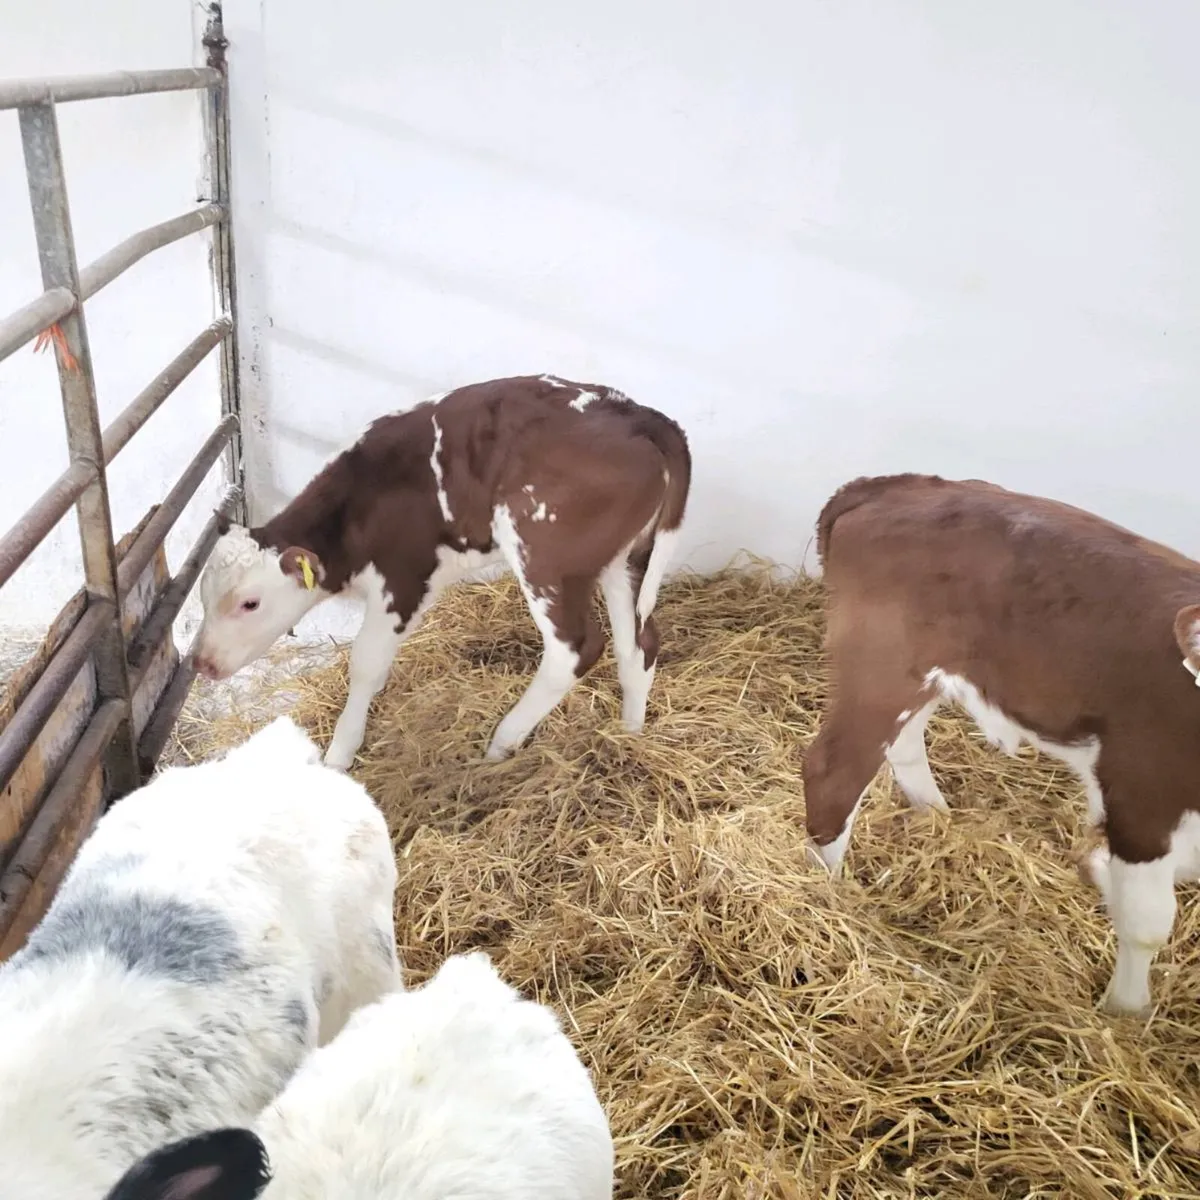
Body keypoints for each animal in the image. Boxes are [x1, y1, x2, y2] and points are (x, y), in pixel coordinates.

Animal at [193, 375, 691, 769]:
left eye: (250, 603)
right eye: (202, 597)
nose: (201, 663)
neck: (361, 503)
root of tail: (639, 415)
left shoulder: (403, 577)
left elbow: (366, 665)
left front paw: (339, 755)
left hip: (547, 557)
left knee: (575, 650)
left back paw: (501, 742)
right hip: (626, 560)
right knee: (638, 645)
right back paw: (630, 734)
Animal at [804, 472, 1200, 1016]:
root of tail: (891, 486)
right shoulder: (1143, 791)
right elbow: (1147, 923)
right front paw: (1126, 1012)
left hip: (922, 675)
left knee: (903, 745)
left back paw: (936, 816)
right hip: (881, 665)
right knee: (833, 773)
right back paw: (831, 895)